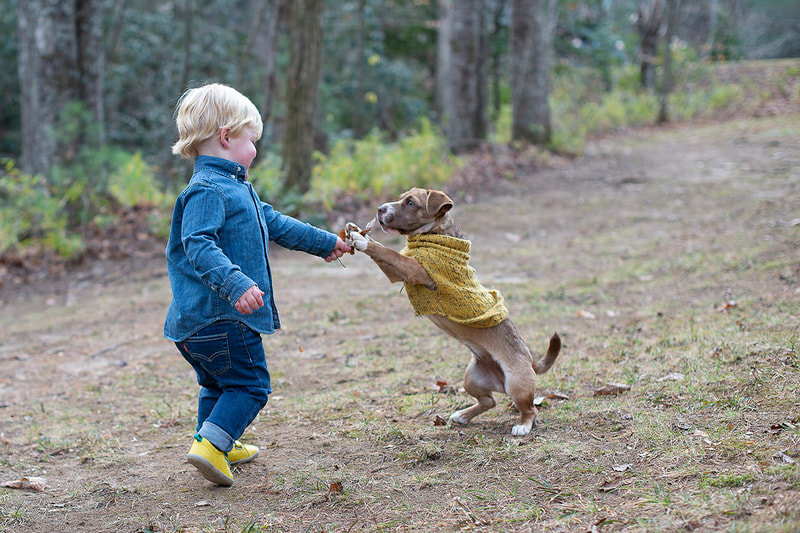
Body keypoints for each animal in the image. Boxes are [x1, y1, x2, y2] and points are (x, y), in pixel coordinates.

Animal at [346, 187, 564, 436]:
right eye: (401, 197)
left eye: (410, 203)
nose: (380, 209)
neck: (433, 236)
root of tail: (530, 360)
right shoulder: (397, 273)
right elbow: (384, 252)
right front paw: (358, 233)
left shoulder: (414, 270)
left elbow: (388, 251)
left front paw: (361, 240)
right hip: (471, 379)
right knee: (489, 401)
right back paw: (463, 415)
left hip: (516, 383)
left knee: (529, 409)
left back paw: (522, 426)